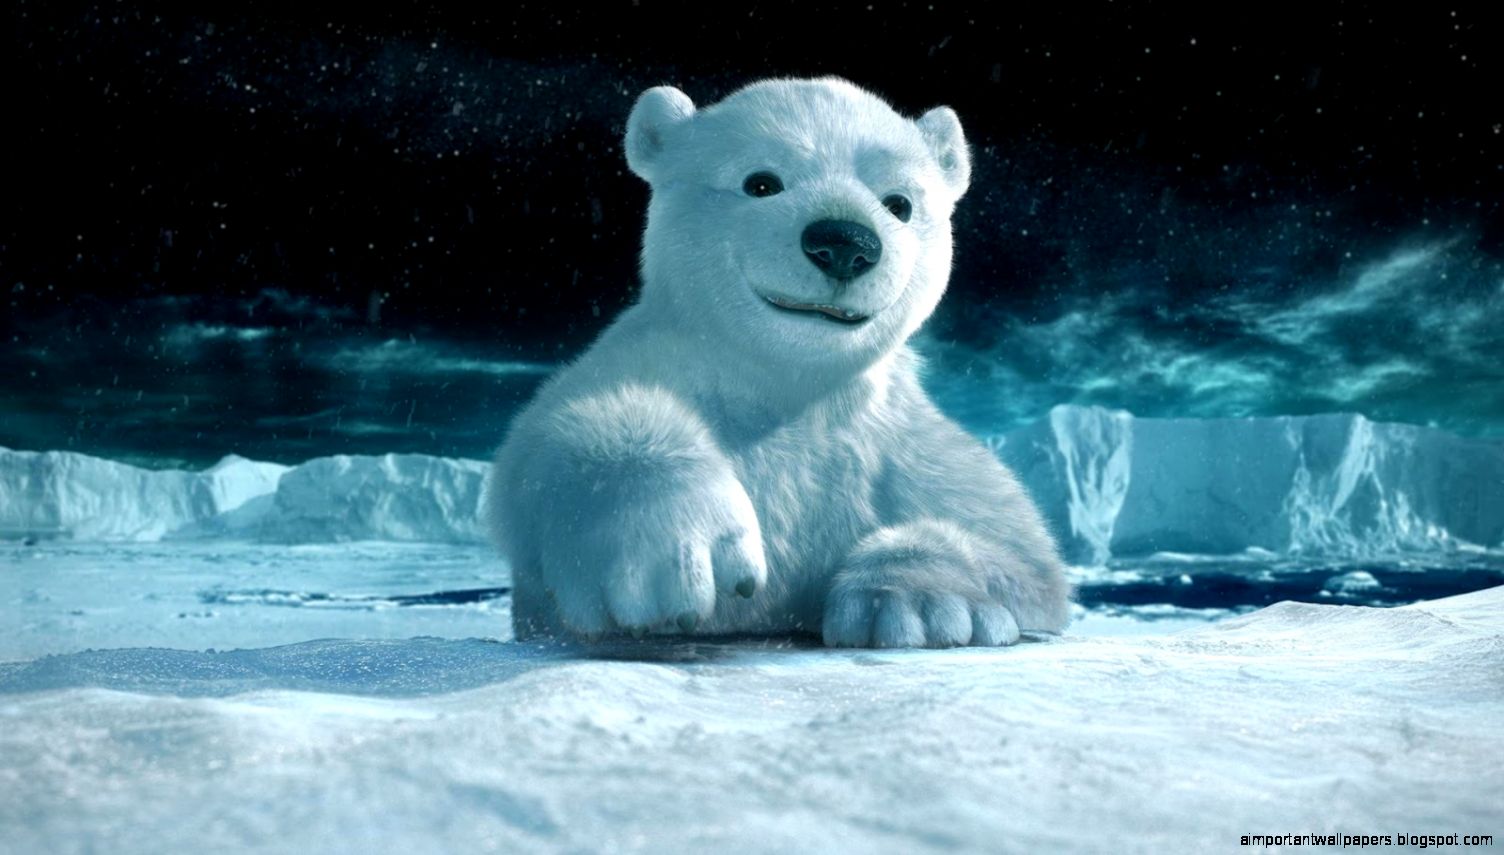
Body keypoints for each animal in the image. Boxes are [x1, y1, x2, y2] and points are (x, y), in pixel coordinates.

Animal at [486, 77, 1070, 647]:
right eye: (762, 182)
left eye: (899, 203)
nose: (844, 242)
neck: (790, 389)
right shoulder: (652, 362)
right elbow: (542, 450)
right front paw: (674, 549)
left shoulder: (900, 442)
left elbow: (1021, 554)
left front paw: (919, 604)